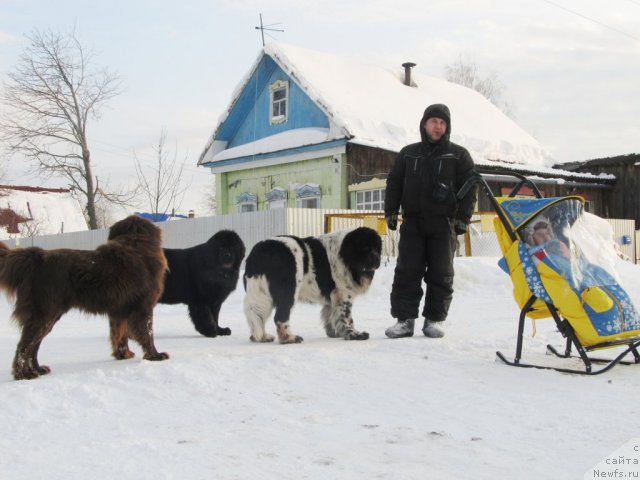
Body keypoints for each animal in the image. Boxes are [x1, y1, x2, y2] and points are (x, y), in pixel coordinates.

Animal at [0, 216, 170, 380]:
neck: (136, 243)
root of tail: (37, 257)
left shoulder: (118, 312)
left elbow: (119, 335)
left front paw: (123, 354)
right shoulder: (143, 307)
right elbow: (147, 333)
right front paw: (154, 356)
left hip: (49, 316)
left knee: (34, 345)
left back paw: (37, 369)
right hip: (44, 314)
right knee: (24, 346)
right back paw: (24, 374)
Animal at [241, 227, 380, 344]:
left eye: (377, 248)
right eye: (365, 248)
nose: (377, 259)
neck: (345, 254)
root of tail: (261, 251)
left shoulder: (333, 296)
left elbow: (331, 314)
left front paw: (335, 332)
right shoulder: (343, 295)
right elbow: (347, 317)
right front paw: (354, 334)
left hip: (259, 293)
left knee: (257, 317)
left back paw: (262, 337)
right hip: (289, 291)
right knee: (280, 317)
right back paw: (289, 338)